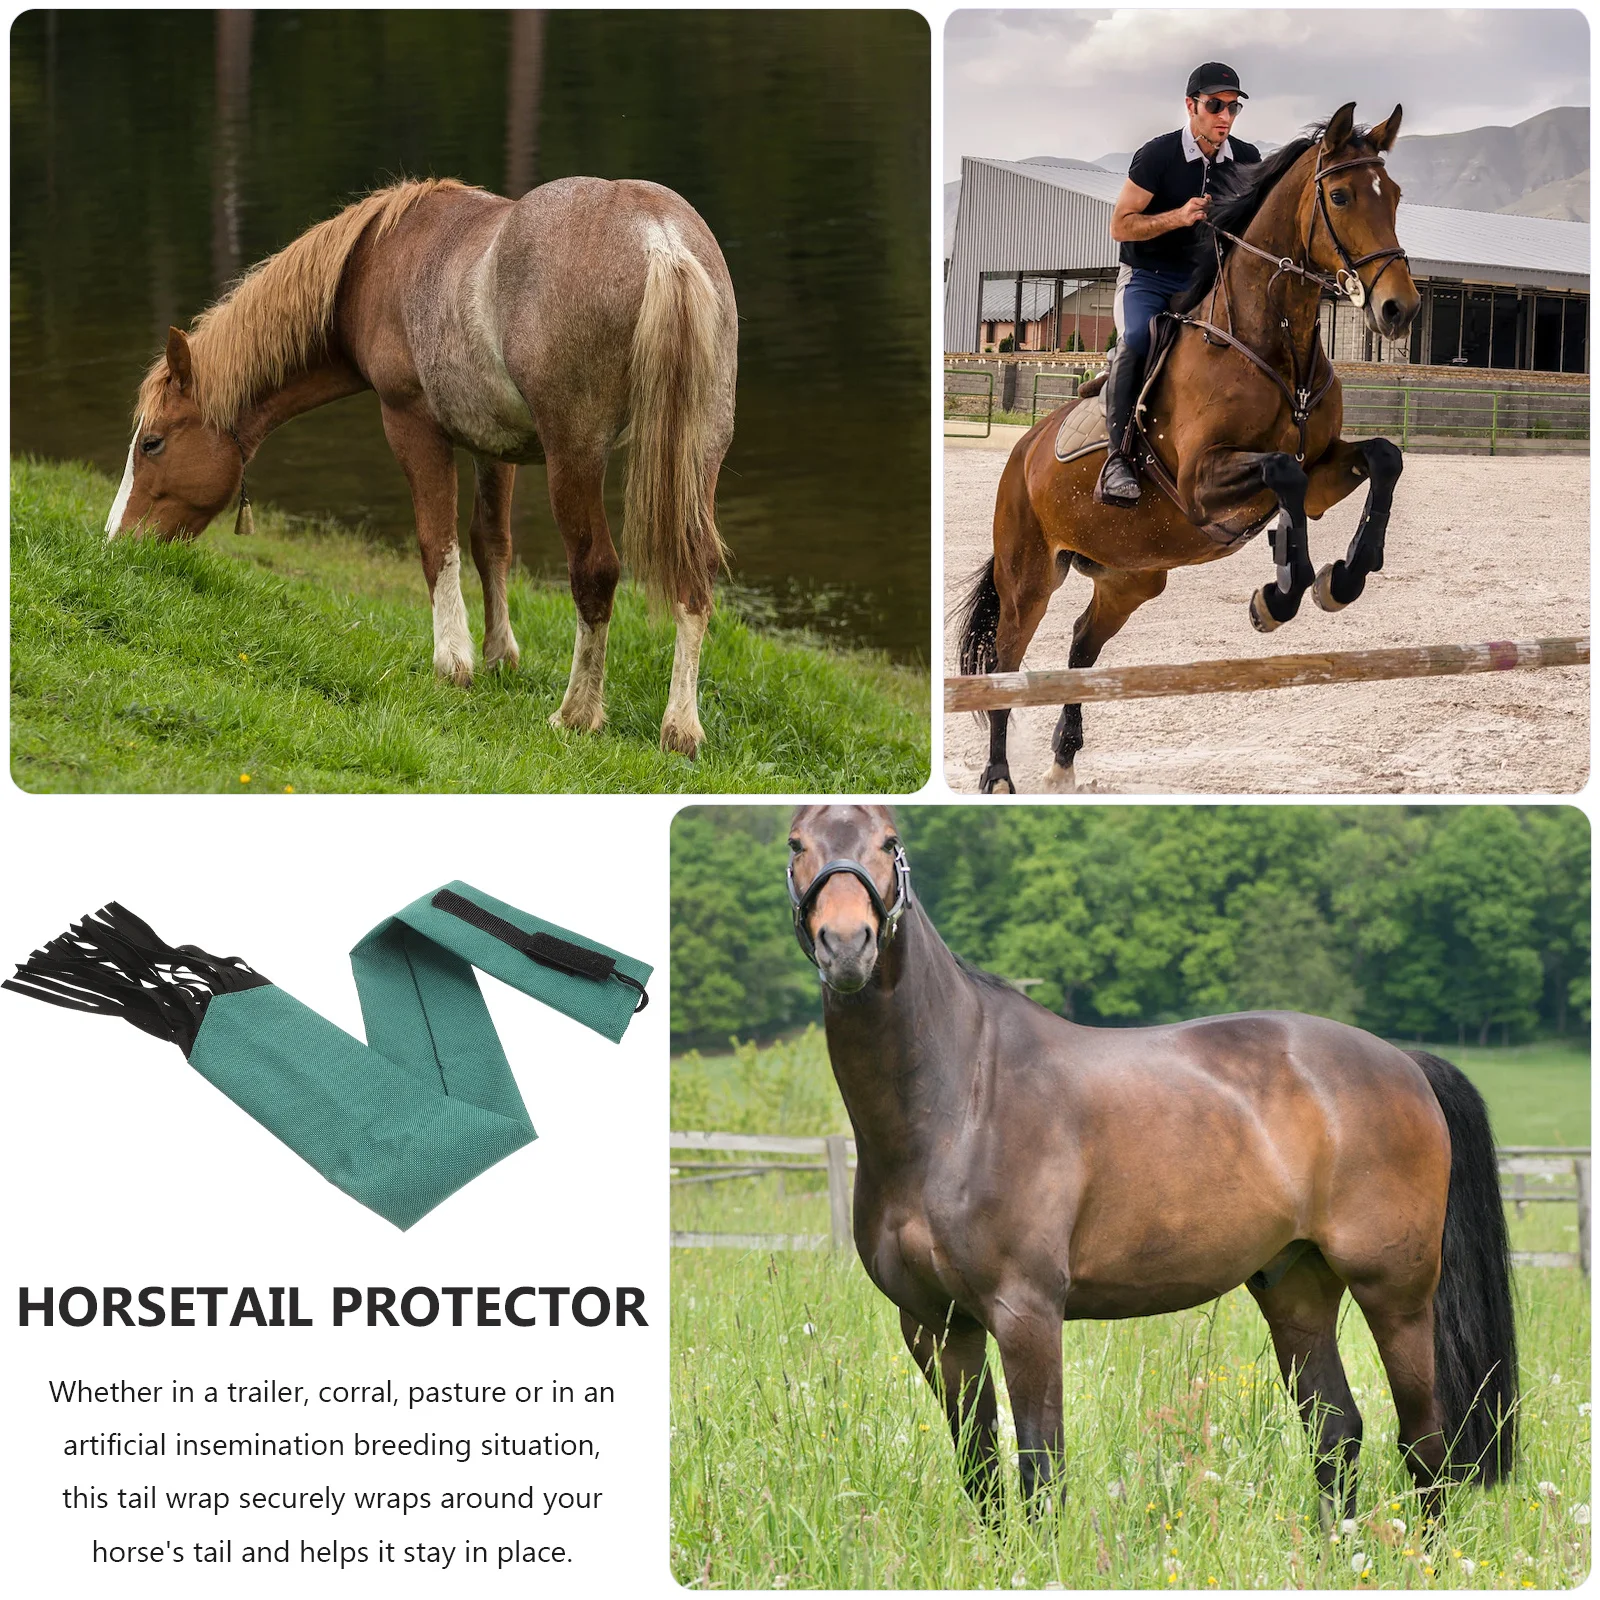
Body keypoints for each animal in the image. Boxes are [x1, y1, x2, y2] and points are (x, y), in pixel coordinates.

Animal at [105, 176, 738, 758]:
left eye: (152, 443)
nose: (115, 542)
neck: (371, 263)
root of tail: (660, 240)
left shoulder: (411, 425)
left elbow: (438, 544)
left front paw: (452, 662)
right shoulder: (494, 445)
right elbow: (489, 544)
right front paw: (499, 656)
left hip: (575, 457)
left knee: (595, 572)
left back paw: (577, 714)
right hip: (699, 451)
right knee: (695, 574)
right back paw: (680, 729)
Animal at [787, 804, 1517, 1523]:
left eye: (889, 841)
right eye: (797, 843)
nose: (846, 945)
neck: (960, 1097)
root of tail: (1404, 1063)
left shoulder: (1026, 1314)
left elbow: (1041, 1471)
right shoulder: (936, 1326)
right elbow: (982, 1473)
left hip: (1395, 1294)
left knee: (1424, 1442)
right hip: (1297, 1291)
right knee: (1337, 1432)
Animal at [957, 104, 1421, 793]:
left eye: (1393, 195)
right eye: (1340, 195)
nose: (1399, 309)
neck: (1273, 342)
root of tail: (1024, 452)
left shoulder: (1321, 471)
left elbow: (1384, 457)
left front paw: (1340, 581)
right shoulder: (1204, 482)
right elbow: (1281, 473)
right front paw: (1277, 598)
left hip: (1131, 577)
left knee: (1081, 644)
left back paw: (1064, 760)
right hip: (1028, 576)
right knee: (1006, 659)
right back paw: (998, 776)